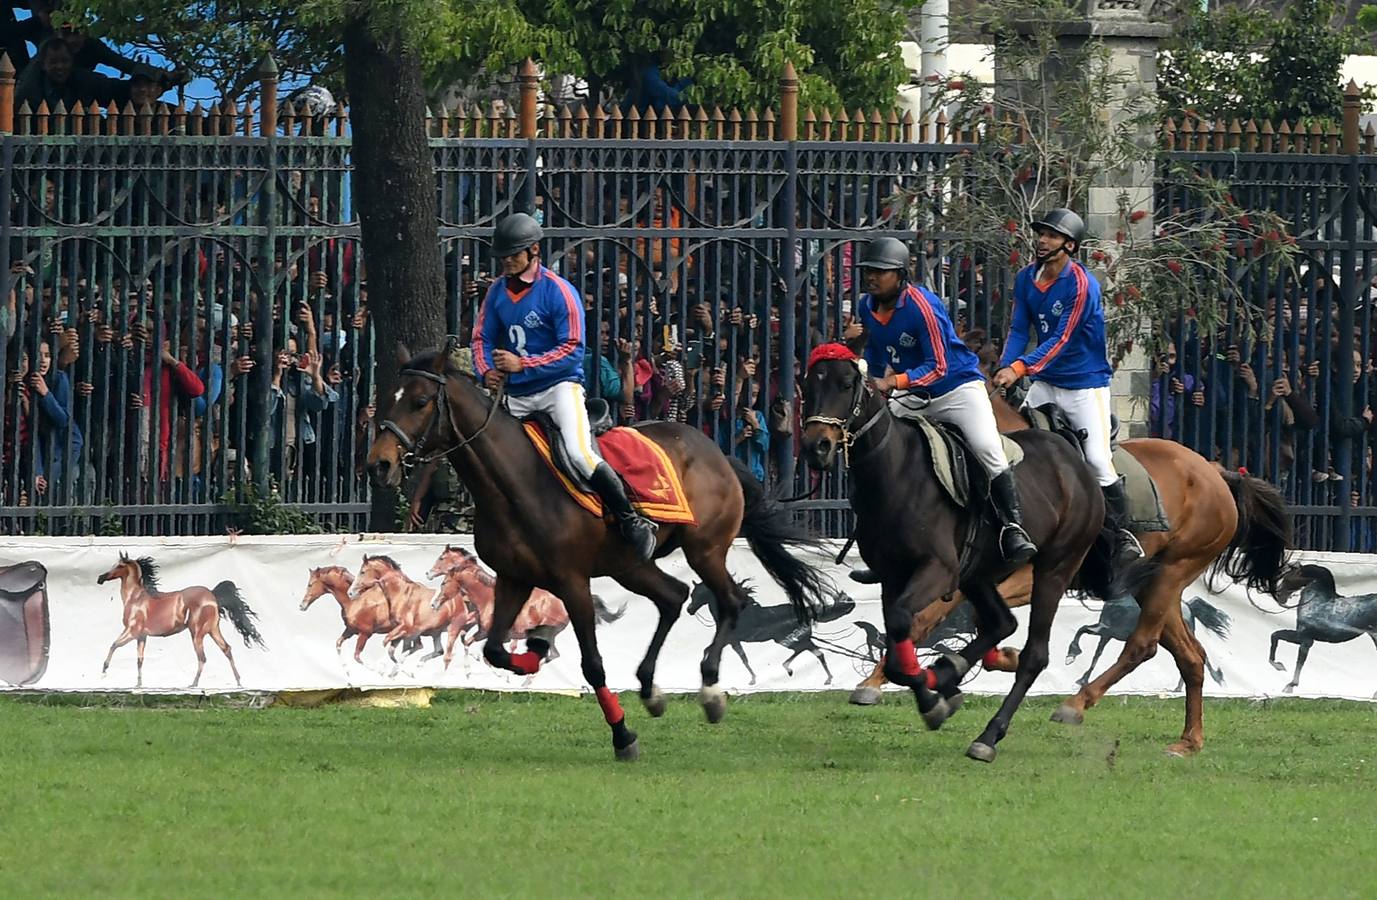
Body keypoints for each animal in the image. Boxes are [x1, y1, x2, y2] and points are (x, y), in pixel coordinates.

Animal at [366, 344, 831, 759]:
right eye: (388, 397)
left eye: (421, 401)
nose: (378, 464)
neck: (516, 481)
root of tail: (716, 451)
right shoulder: (514, 578)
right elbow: (496, 650)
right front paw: (535, 651)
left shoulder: (572, 581)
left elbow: (592, 664)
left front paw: (622, 736)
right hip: (629, 564)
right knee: (673, 597)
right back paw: (650, 688)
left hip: (705, 550)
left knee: (729, 601)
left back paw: (711, 690)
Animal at [804, 342, 1112, 765]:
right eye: (808, 383)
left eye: (847, 383)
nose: (816, 446)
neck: (895, 472)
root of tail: (1077, 462)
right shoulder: (892, 576)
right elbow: (899, 643)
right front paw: (935, 696)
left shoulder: (938, 570)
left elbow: (903, 626)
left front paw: (934, 697)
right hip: (979, 573)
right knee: (1001, 623)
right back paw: (951, 671)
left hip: (1054, 568)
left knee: (1034, 654)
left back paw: (989, 735)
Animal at [848, 390, 1288, 759]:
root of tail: (1217, 472)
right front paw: (974, 665)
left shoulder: (1015, 575)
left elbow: (929, 618)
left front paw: (887, 680)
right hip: (1152, 584)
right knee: (1190, 656)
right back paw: (1188, 741)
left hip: (1170, 573)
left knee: (1142, 645)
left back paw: (1076, 703)